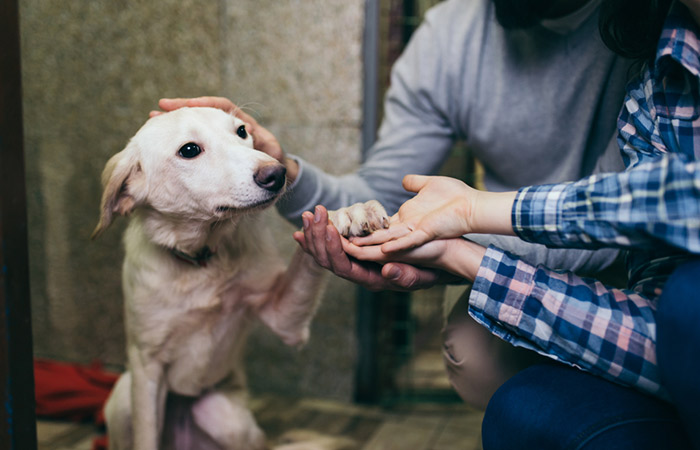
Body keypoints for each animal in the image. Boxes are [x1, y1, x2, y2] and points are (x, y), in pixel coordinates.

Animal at [92, 107, 388, 448]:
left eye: (242, 131)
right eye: (189, 150)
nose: (277, 173)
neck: (202, 260)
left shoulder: (284, 319)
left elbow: (307, 251)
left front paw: (346, 214)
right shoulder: (146, 365)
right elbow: (146, 436)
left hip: (228, 419)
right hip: (124, 396)